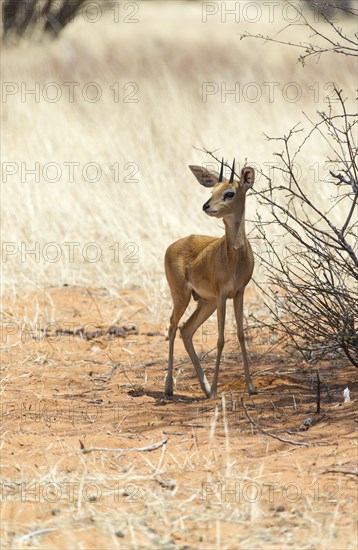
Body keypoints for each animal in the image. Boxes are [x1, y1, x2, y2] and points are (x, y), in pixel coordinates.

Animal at [164, 157, 256, 398]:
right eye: (212, 189)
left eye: (230, 192)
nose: (207, 206)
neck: (233, 257)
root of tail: (172, 245)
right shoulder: (223, 294)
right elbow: (221, 339)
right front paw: (216, 388)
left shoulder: (239, 293)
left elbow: (240, 335)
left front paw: (251, 387)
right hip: (183, 297)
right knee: (172, 326)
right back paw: (169, 388)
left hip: (207, 302)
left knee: (186, 330)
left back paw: (204, 388)